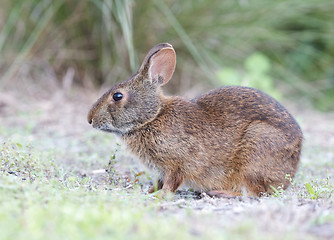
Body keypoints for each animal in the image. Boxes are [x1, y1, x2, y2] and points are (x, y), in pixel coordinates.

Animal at [88, 43, 302, 197]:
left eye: (117, 96)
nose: (89, 119)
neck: (153, 117)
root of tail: (292, 169)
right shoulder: (161, 170)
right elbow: (159, 182)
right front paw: (149, 191)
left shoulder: (179, 162)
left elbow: (172, 182)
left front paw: (160, 196)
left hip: (256, 148)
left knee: (253, 192)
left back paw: (221, 193)